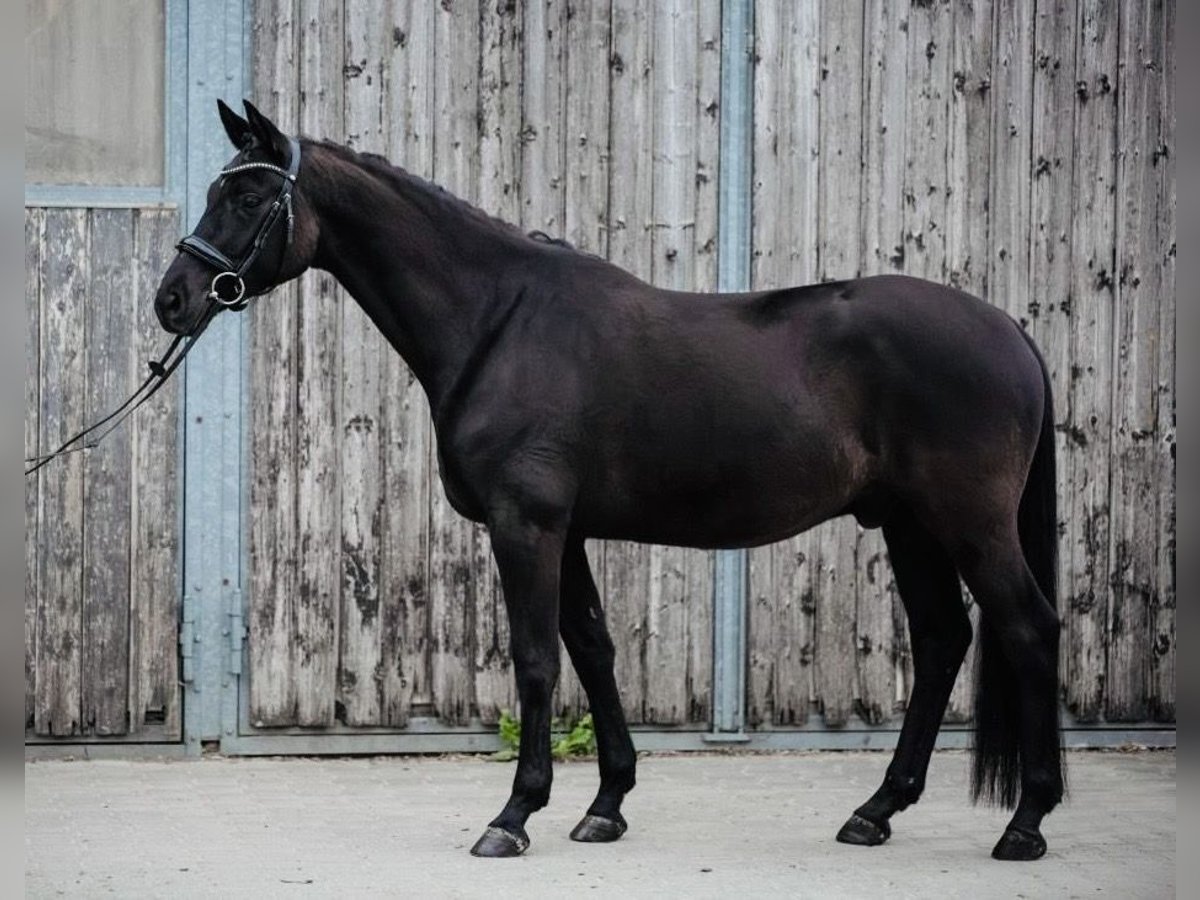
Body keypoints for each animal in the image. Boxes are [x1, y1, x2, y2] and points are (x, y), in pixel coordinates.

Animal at [154, 100, 1065, 862]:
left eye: (247, 198)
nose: (173, 299)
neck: (499, 321)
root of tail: (1010, 332)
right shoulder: (570, 531)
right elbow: (592, 649)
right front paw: (606, 805)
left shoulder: (526, 524)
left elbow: (535, 660)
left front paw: (513, 815)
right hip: (910, 524)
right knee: (943, 639)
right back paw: (876, 811)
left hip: (970, 524)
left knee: (1027, 627)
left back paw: (1026, 822)